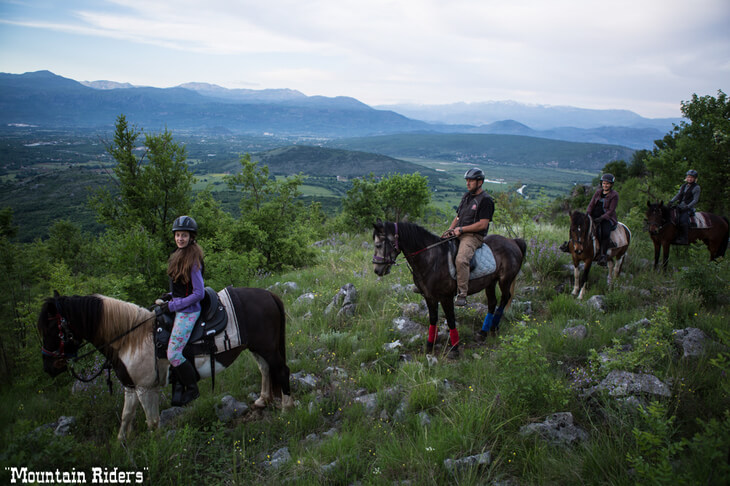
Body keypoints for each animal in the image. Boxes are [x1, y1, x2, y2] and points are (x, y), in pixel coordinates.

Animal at [37, 286, 292, 442]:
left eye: (50, 328)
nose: (49, 367)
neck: (130, 339)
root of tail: (269, 295)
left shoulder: (145, 388)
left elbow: (152, 422)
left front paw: (156, 449)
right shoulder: (130, 387)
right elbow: (126, 416)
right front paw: (122, 445)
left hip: (268, 348)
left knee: (281, 370)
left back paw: (286, 408)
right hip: (257, 348)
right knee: (265, 369)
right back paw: (263, 400)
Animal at [370, 222, 524, 356]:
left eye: (378, 244)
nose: (377, 270)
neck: (432, 259)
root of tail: (513, 241)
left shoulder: (446, 297)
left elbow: (450, 320)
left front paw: (454, 349)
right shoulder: (429, 296)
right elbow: (433, 319)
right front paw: (429, 346)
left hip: (505, 280)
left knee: (504, 299)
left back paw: (494, 327)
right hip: (490, 282)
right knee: (492, 303)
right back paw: (483, 332)